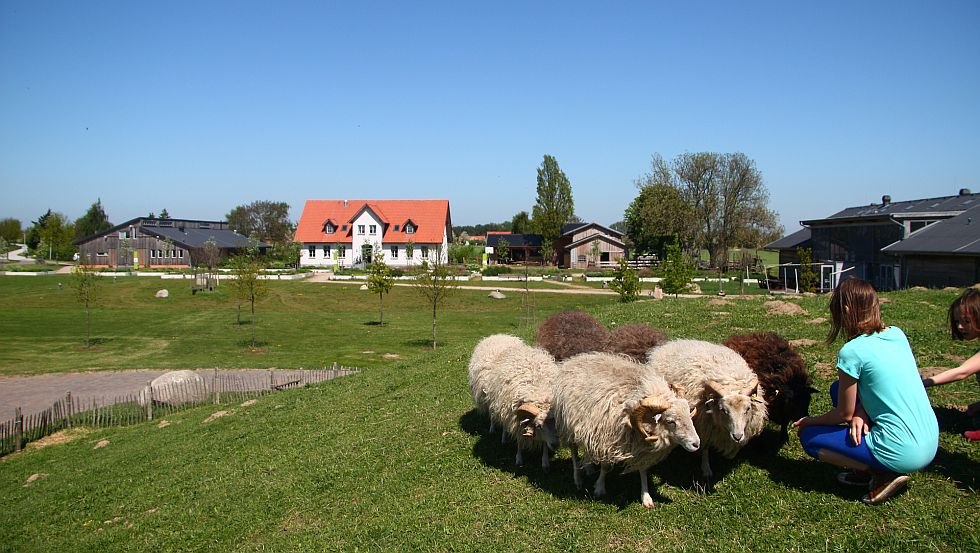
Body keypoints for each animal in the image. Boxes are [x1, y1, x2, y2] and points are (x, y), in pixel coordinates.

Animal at [468, 334, 560, 468]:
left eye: (557, 425)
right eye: (538, 426)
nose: (556, 445)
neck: (539, 391)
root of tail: (499, 335)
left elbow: (544, 443)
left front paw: (545, 461)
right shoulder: (516, 418)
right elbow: (520, 441)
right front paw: (519, 458)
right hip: (494, 398)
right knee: (493, 414)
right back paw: (495, 431)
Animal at [552, 352, 704, 506]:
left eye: (689, 416)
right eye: (670, 421)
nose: (696, 444)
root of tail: (575, 359)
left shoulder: (640, 447)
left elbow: (642, 469)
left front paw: (646, 497)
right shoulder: (607, 439)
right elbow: (605, 466)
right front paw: (600, 488)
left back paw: (588, 467)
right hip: (568, 426)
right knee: (574, 451)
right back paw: (577, 478)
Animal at [648, 336, 768, 478]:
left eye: (748, 409)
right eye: (723, 410)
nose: (737, 437)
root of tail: (671, 343)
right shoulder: (703, 425)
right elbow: (704, 447)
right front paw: (706, 468)